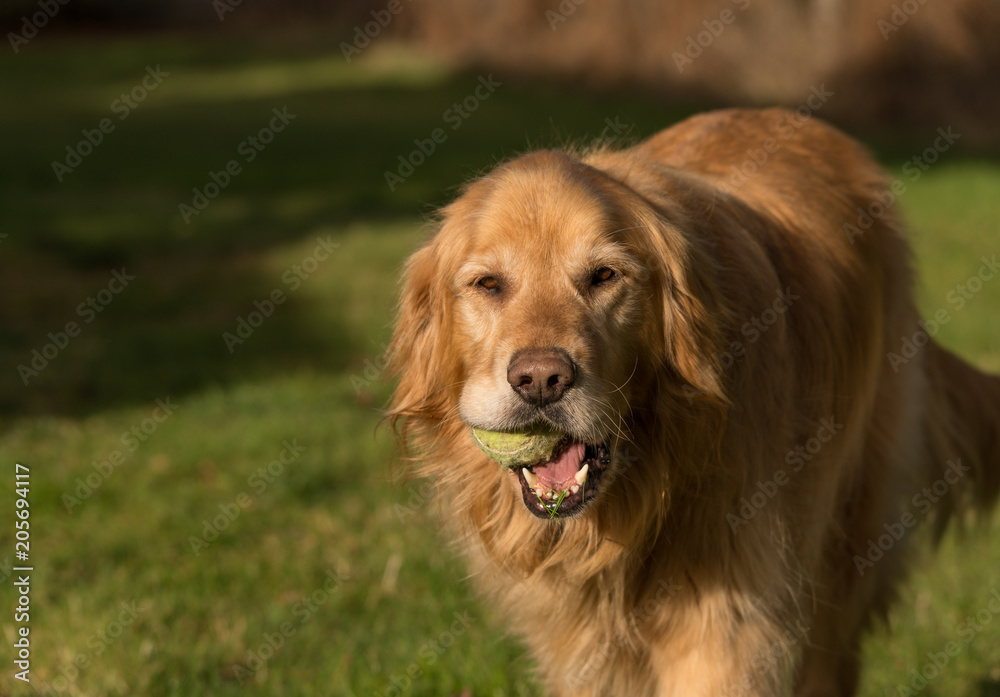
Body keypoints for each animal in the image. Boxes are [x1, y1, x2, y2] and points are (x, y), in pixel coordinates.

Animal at [386, 109, 1000, 696]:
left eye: (604, 275)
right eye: (488, 284)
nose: (540, 379)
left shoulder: (725, 630)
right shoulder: (581, 650)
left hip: (848, 534)